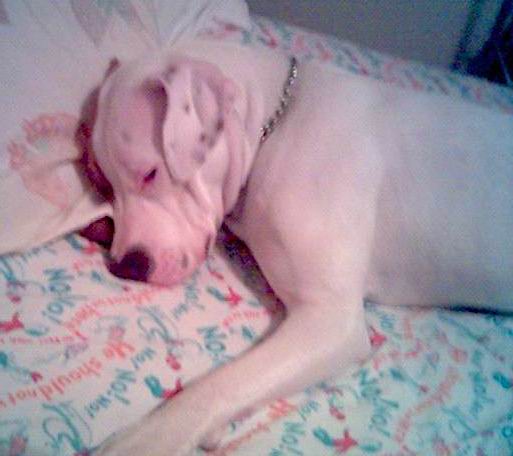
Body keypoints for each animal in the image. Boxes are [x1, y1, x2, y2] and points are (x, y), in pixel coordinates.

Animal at [80, 40, 512, 456]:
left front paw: (148, 438)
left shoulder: (330, 320)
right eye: (102, 181)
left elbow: (224, 383)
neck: (277, 121)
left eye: (150, 173)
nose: (125, 264)